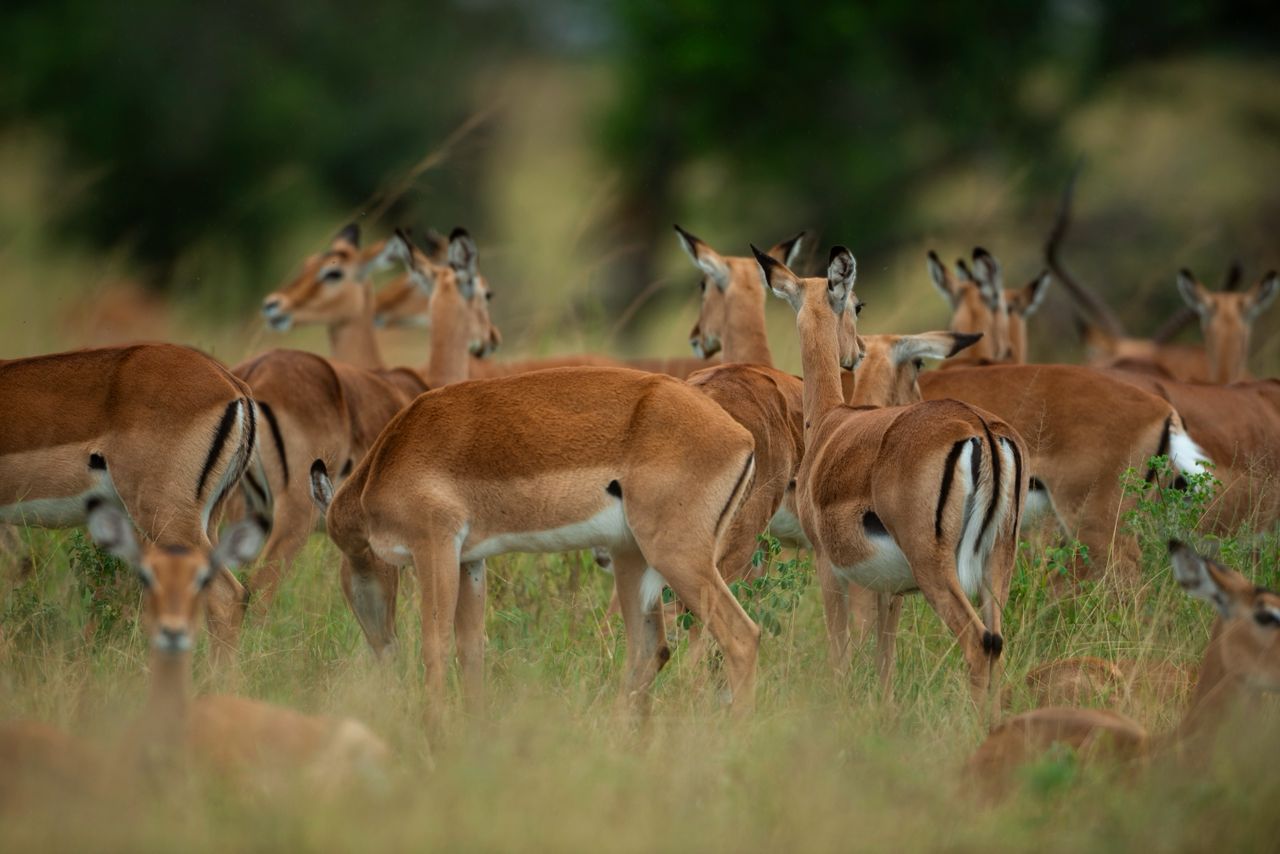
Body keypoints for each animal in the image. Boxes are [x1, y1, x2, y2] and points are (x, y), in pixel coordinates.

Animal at [311, 366, 762, 729]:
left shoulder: (433, 546)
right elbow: (471, 650)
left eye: (351, 570)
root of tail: (742, 436)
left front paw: (433, 734)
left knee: (742, 637)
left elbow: (434, 645)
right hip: (632, 558)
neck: (388, 458)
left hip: (675, 556)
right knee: (650, 650)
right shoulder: (470, 561)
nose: (384, 650)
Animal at [754, 245, 1026, 703]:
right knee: (999, 646)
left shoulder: (829, 568)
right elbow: (885, 663)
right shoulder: (891, 591)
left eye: (857, 304)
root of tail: (980, 429)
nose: (856, 352)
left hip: (935, 567)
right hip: (997, 562)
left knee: (980, 643)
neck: (829, 421)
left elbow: (841, 657)